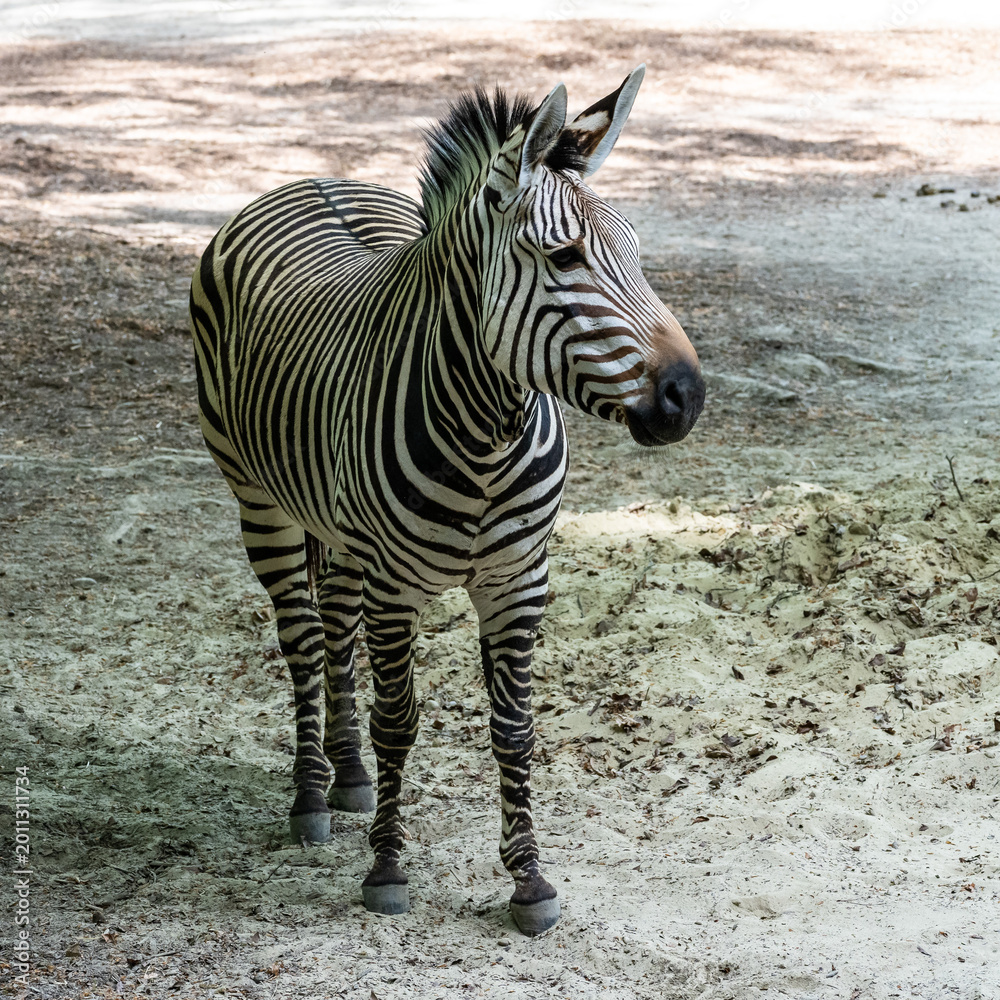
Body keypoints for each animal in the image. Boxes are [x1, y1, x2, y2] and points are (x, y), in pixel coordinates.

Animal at [189, 65, 704, 935]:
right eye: (565, 256)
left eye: (636, 252)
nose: (688, 395)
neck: (487, 436)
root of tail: (311, 178)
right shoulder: (397, 585)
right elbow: (400, 721)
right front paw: (388, 870)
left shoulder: (518, 580)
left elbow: (515, 727)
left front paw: (529, 879)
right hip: (260, 501)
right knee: (302, 638)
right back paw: (311, 793)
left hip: (343, 535)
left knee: (334, 627)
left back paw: (349, 777)